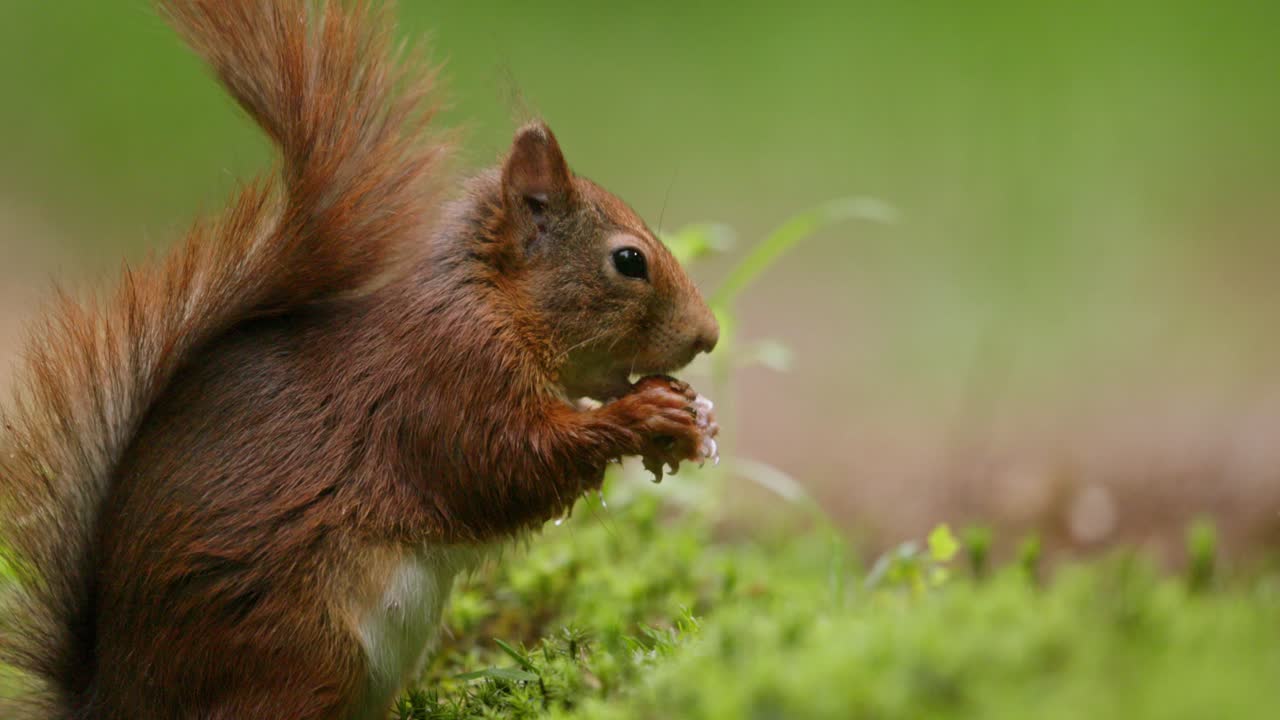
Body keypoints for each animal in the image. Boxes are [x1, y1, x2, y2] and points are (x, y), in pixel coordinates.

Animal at [0, 1, 719, 718]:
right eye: (628, 261)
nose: (708, 335)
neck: (492, 303)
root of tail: (114, 696)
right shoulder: (445, 378)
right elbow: (504, 464)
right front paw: (643, 415)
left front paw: (688, 424)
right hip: (301, 651)